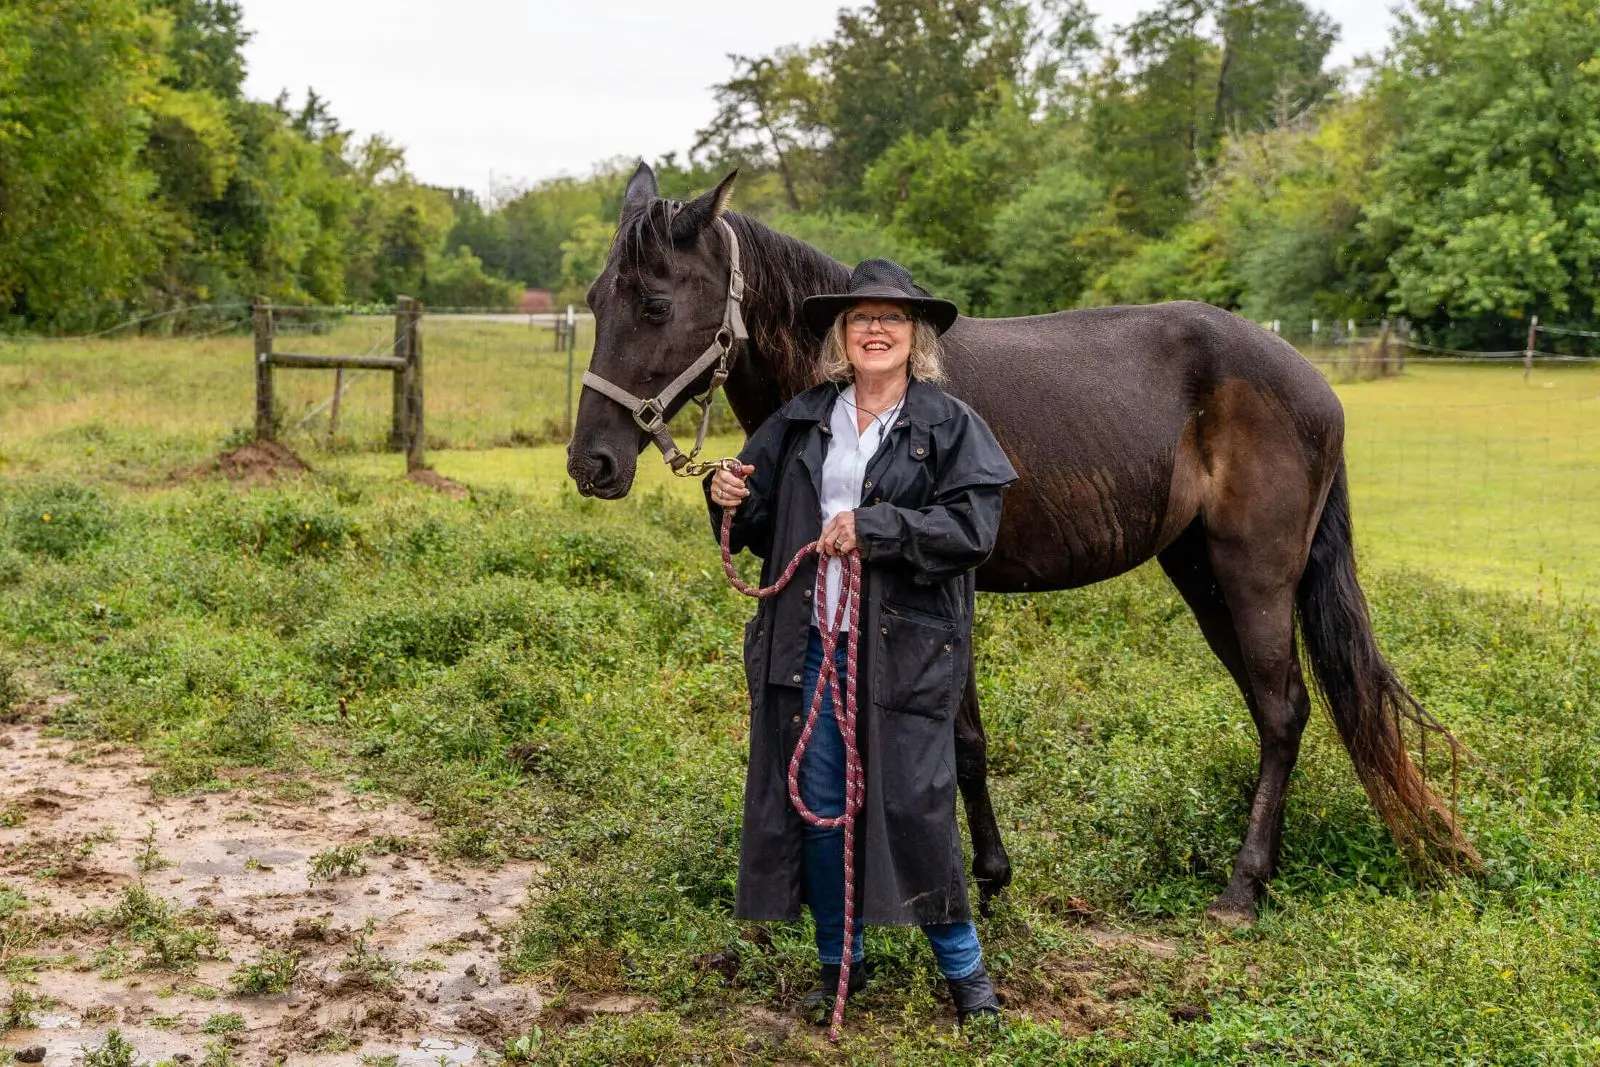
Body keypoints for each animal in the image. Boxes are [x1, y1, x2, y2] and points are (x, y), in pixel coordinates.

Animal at [566, 163, 1477, 923]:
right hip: (1202, 574)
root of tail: (1315, 384)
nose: (592, 462)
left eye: (655, 305)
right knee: (1273, 708)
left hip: (1253, 576)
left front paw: (976, 882)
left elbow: (958, 739)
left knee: (1284, 710)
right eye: (598, 301)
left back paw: (1242, 889)